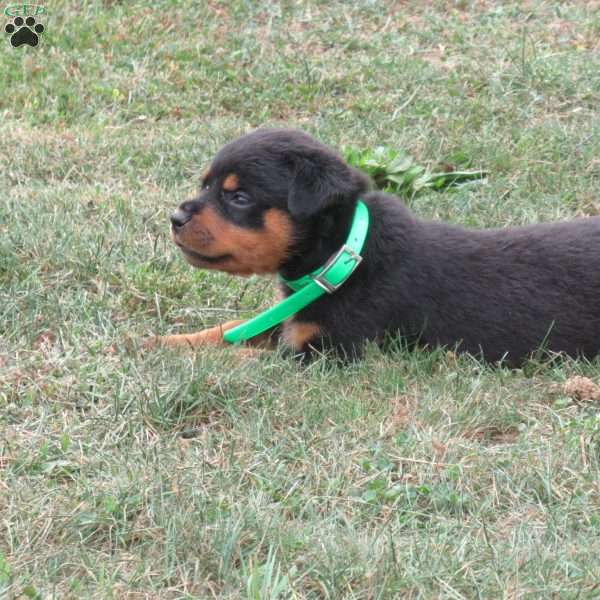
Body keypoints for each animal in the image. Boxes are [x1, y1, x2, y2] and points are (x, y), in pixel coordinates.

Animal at [155, 127, 600, 366]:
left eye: (239, 198)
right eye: (205, 186)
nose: (175, 218)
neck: (343, 258)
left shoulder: (330, 353)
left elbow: (242, 358)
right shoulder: (292, 322)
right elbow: (229, 330)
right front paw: (160, 344)